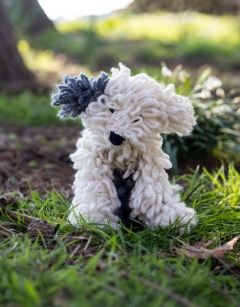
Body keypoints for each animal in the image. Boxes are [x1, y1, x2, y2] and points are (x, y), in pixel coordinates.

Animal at [51, 63, 196, 232]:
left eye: (137, 119)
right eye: (111, 109)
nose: (115, 137)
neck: (120, 155)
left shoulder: (148, 162)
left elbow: (151, 190)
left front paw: (167, 216)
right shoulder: (95, 161)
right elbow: (97, 186)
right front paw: (93, 219)